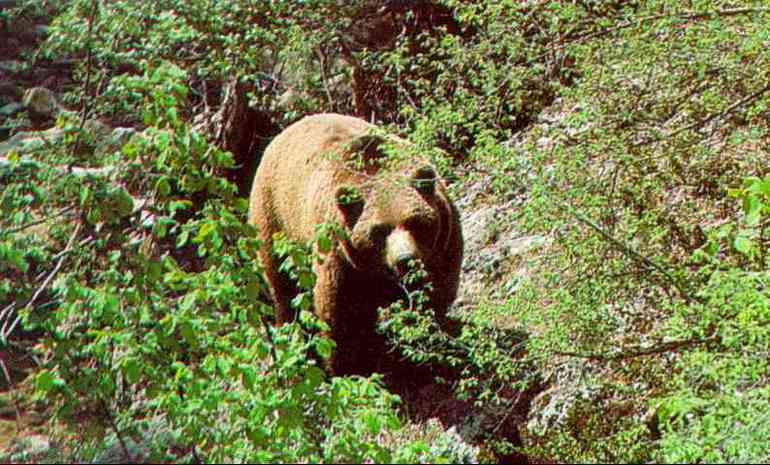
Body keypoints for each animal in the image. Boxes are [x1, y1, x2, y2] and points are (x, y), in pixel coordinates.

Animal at [249, 112, 460, 374]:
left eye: (414, 221)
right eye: (380, 230)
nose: (405, 259)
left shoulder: (442, 244)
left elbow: (435, 294)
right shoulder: (340, 254)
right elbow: (339, 312)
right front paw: (347, 366)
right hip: (276, 219)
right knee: (283, 287)